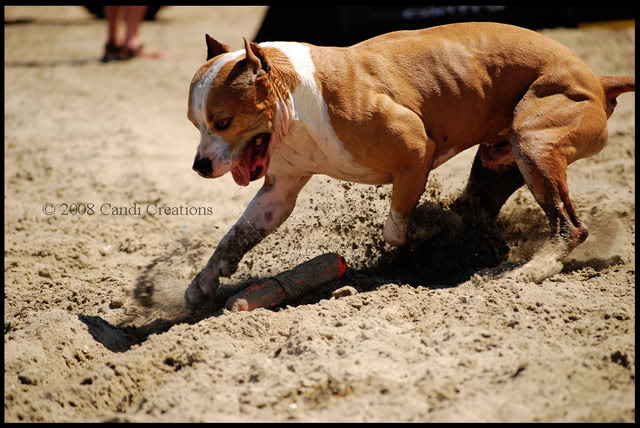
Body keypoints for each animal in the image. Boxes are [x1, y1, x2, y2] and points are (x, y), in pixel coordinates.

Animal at [184, 22, 632, 308]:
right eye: (194, 122)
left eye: (223, 122)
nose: (200, 166)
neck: (296, 100)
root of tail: (596, 79)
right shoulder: (278, 193)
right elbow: (236, 235)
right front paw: (204, 282)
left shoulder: (415, 153)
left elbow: (395, 227)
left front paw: (426, 226)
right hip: (499, 158)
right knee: (477, 207)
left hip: (534, 144)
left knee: (569, 224)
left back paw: (531, 267)